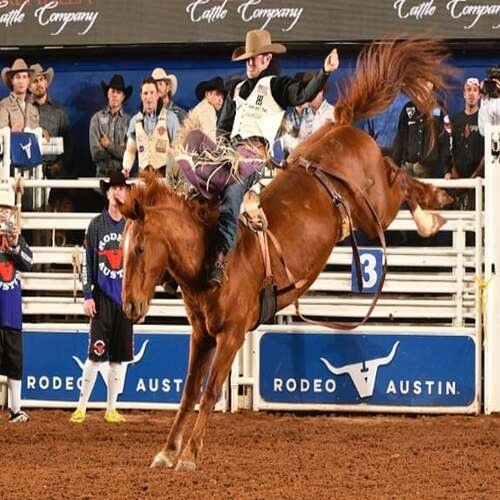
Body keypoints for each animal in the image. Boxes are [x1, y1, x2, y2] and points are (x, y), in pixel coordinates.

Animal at [120, 38, 454, 468]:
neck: (208, 252)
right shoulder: (202, 334)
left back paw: (433, 209)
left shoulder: (231, 334)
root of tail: (342, 123)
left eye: (141, 246)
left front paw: (190, 455)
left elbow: (210, 391)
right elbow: (189, 391)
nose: (129, 306)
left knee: (401, 179)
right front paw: (167, 451)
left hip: (374, 208)